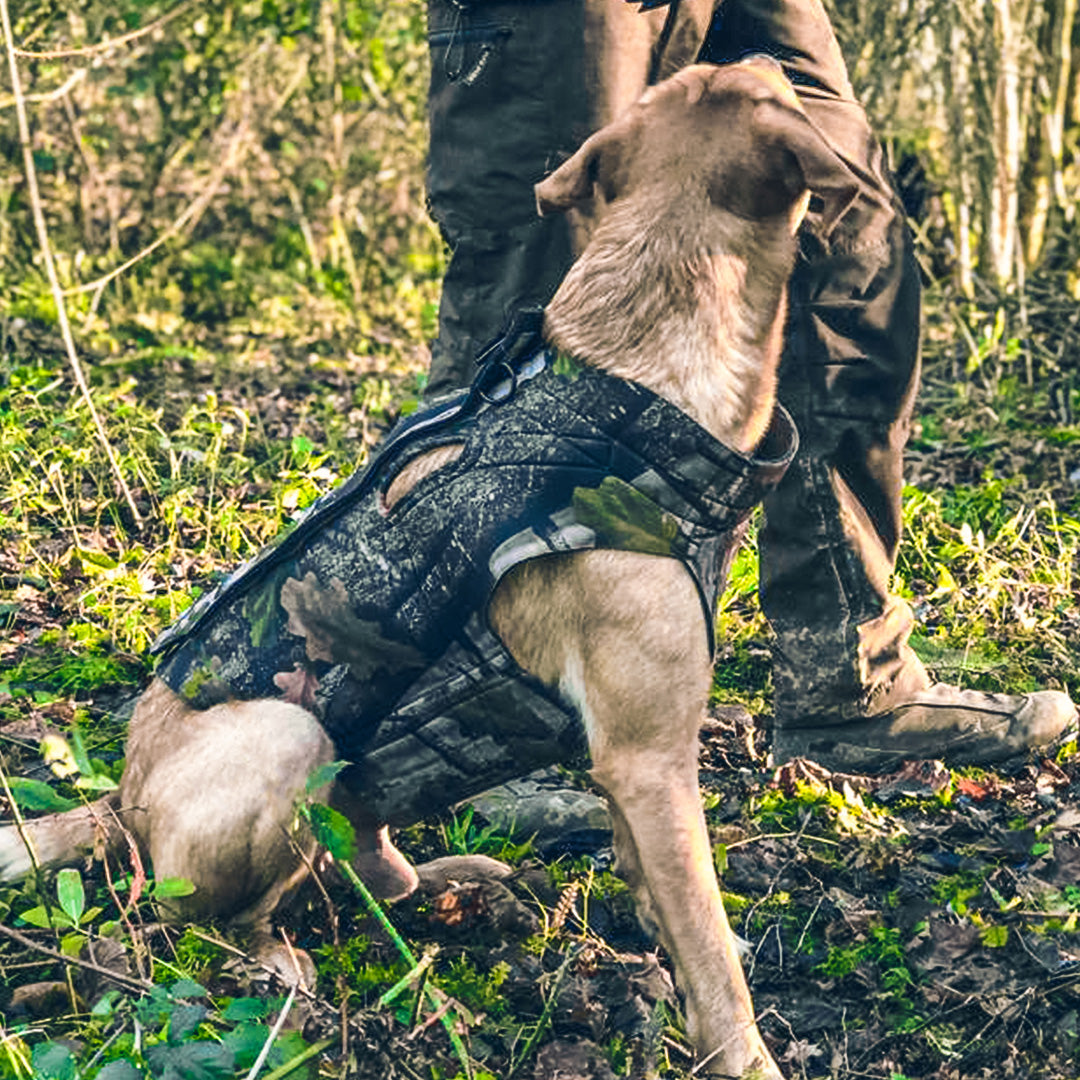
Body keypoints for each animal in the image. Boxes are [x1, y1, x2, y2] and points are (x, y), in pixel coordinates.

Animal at [2, 61, 859, 1080]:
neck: (640, 365)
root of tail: (119, 804)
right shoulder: (650, 757)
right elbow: (712, 952)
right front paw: (739, 1049)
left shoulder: (632, 768)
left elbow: (664, 897)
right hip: (289, 737)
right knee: (210, 920)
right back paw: (277, 967)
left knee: (360, 868)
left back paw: (444, 880)